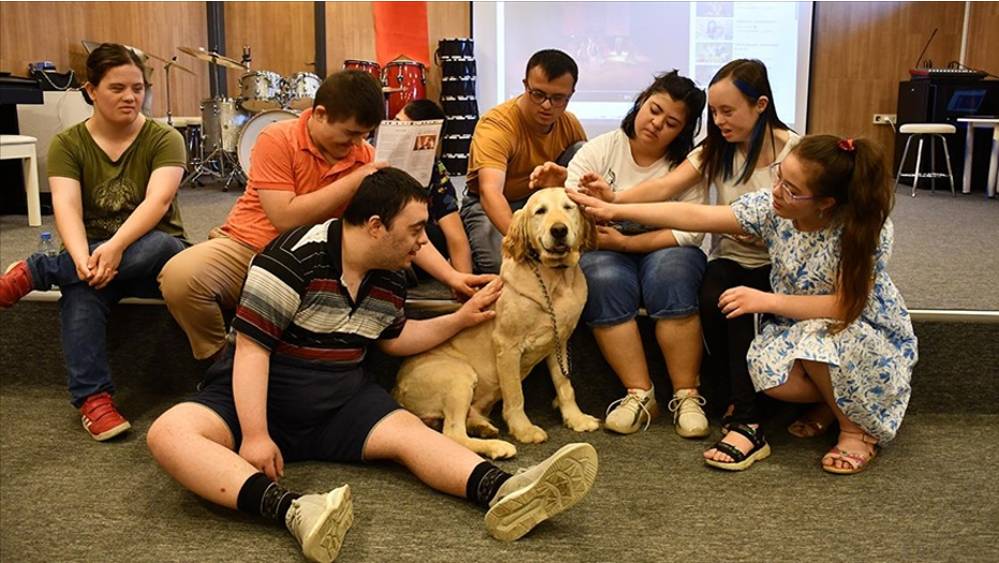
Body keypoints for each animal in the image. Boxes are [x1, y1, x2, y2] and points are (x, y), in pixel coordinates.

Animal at [394, 187, 600, 460]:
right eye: (540, 211)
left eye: (569, 207)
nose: (559, 230)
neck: (555, 281)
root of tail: (396, 389)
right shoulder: (507, 347)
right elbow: (515, 395)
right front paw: (524, 430)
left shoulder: (560, 342)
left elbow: (565, 385)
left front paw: (576, 418)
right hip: (458, 376)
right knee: (453, 434)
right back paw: (497, 446)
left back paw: (481, 427)